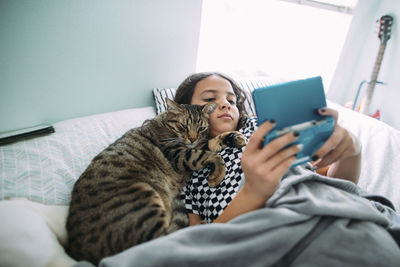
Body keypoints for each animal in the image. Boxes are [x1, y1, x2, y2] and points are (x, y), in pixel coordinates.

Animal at [66, 98, 244, 264]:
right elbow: (209, 155)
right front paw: (217, 175)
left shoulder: (192, 147)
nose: (192, 139)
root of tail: (80, 253)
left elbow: (210, 144)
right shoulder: (180, 154)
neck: (165, 124)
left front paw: (234, 137)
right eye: (183, 127)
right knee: (165, 239)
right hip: (143, 195)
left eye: (201, 128)